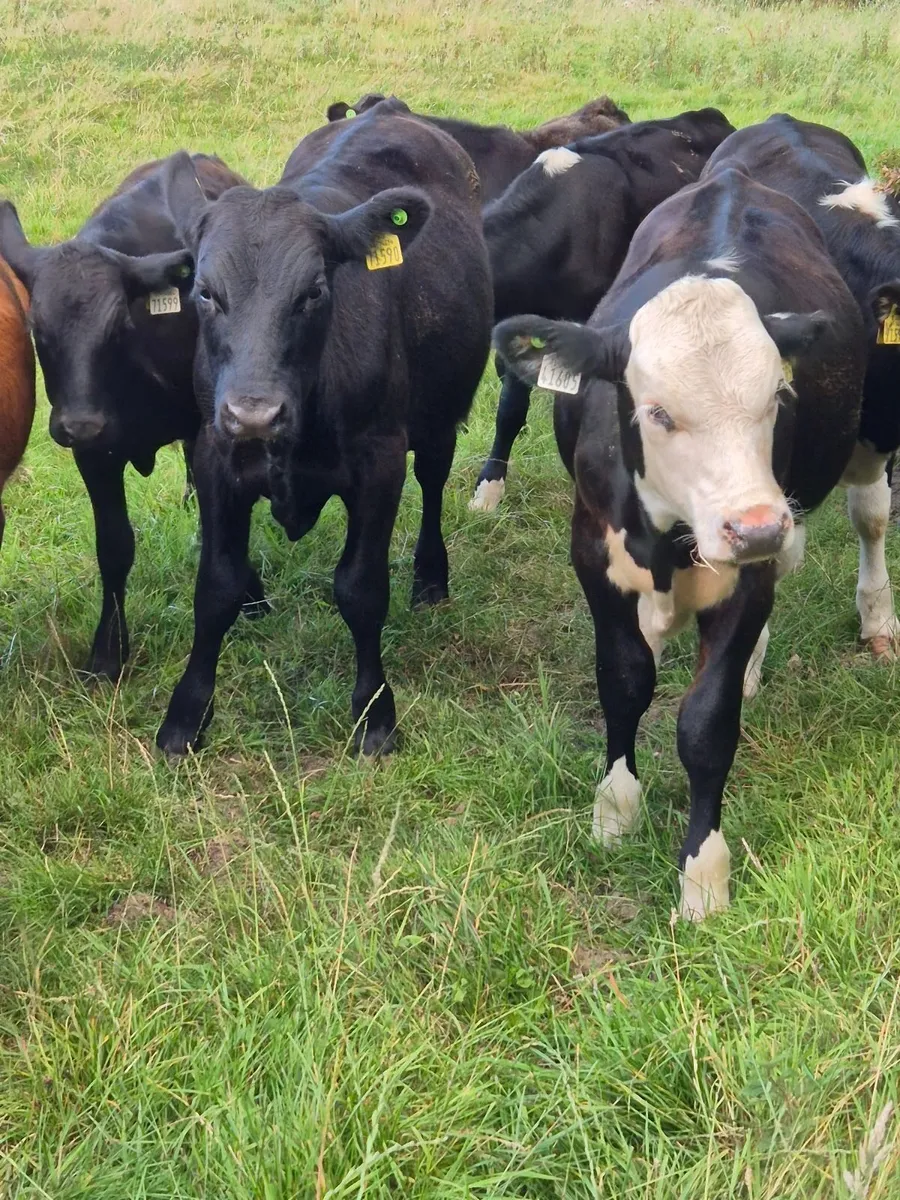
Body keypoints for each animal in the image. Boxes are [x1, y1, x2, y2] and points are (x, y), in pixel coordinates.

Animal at [0, 153, 249, 680]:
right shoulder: (95, 454)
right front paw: (108, 652)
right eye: (37, 329)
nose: (79, 423)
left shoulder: (207, 428)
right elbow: (114, 546)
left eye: (118, 324)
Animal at [154, 101, 492, 758]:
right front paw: (186, 715)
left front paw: (375, 713)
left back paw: (430, 577)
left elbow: (360, 589)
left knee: (434, 482)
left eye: (312, 292)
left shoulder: (380, 462)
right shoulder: (213, 455)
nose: (254, 414)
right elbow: (216, 587)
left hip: (439, 416)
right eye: (205, 292)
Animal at [493, 161, 876, 920]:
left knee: (870, 519)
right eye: (659, 413)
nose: (756, 525)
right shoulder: (594, 559)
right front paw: (615, 809)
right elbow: (623, 682)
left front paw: (703, 875)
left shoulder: (747, 579)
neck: (669, 535)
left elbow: (706, 723)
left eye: (776, 398)